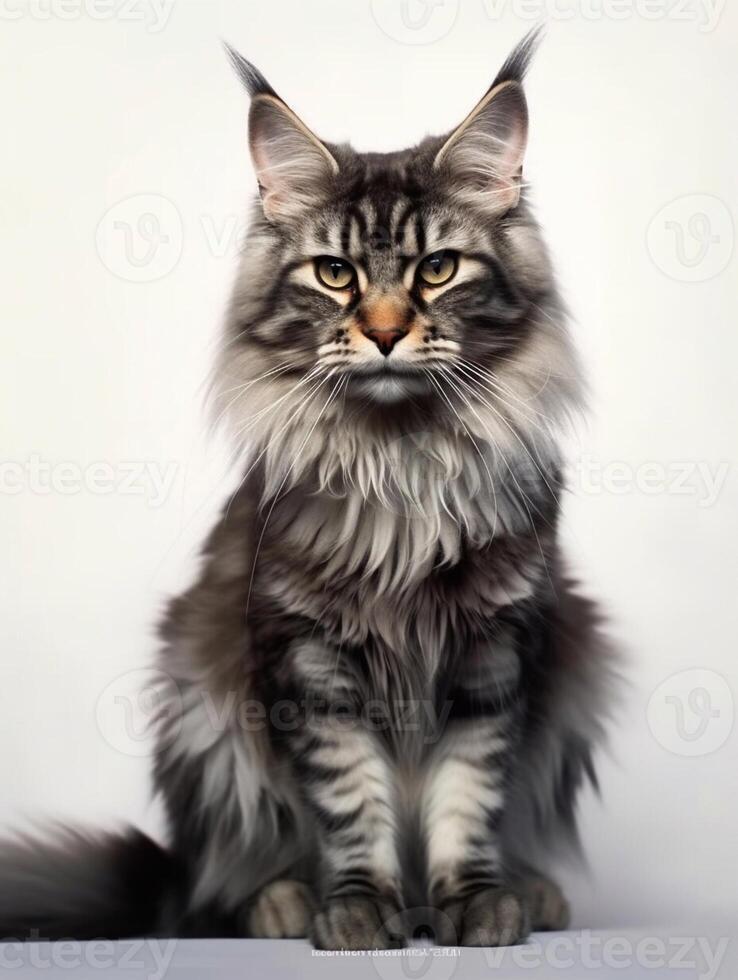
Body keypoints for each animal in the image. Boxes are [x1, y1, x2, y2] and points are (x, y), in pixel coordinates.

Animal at [0, 32, 616, 948]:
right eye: (334, 274)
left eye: (438, 269)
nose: (387, 332)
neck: (403, 464)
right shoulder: (309, 662)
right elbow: (351, 803)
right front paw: (357, 910)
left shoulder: (494, 653)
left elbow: (468, 797)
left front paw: (476, 902)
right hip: (200, 707)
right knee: (216, 887)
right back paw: (281, 903)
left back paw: (531, 891)